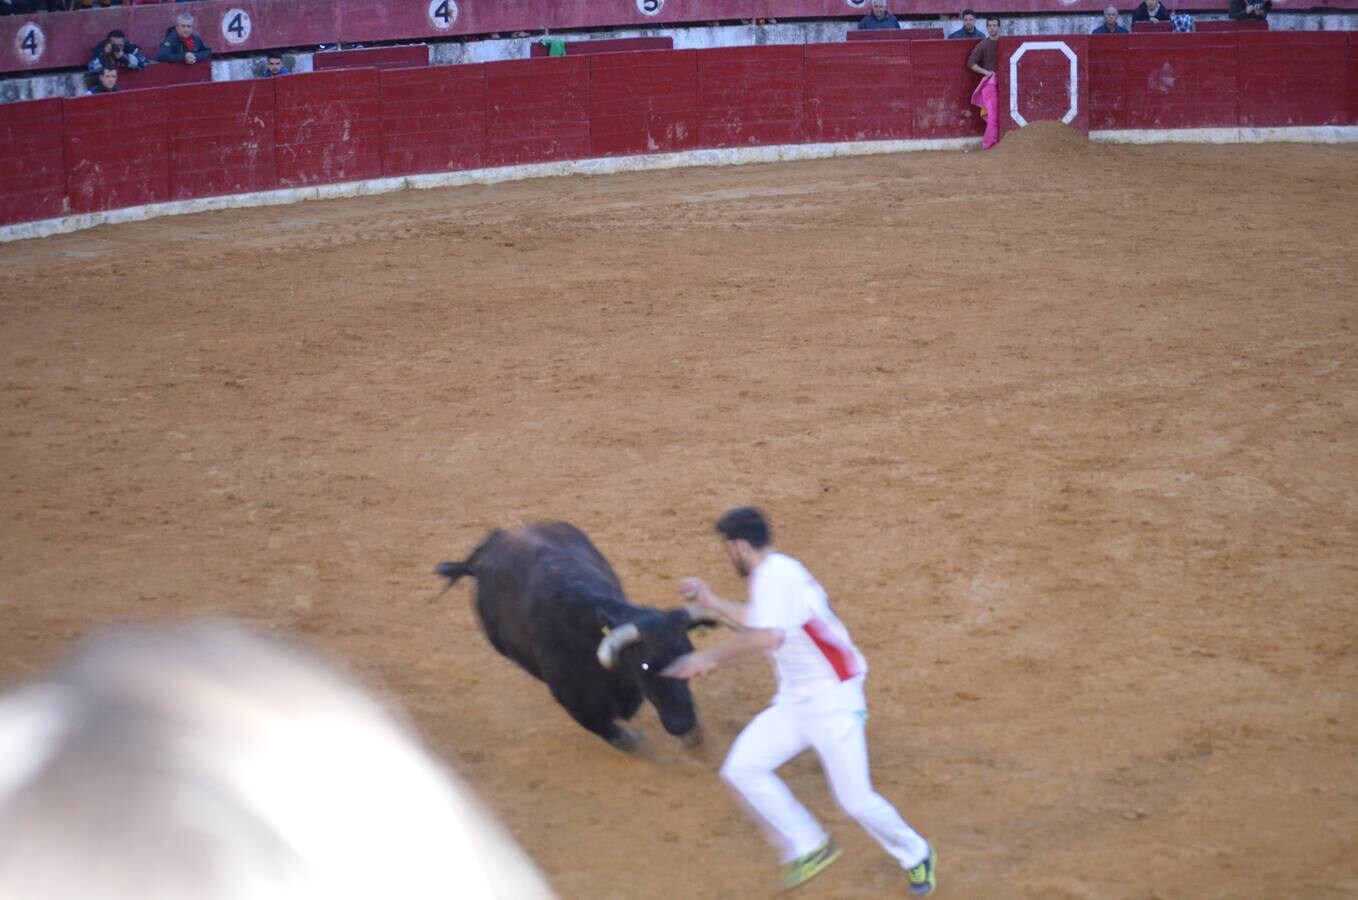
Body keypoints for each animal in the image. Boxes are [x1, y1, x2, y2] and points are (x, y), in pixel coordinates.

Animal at [437, 523, 722, 749]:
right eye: (645, 665)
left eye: (689, 655)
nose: (682, 723)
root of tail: (497, 540)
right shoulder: (576, 703)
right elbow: (610, 731)